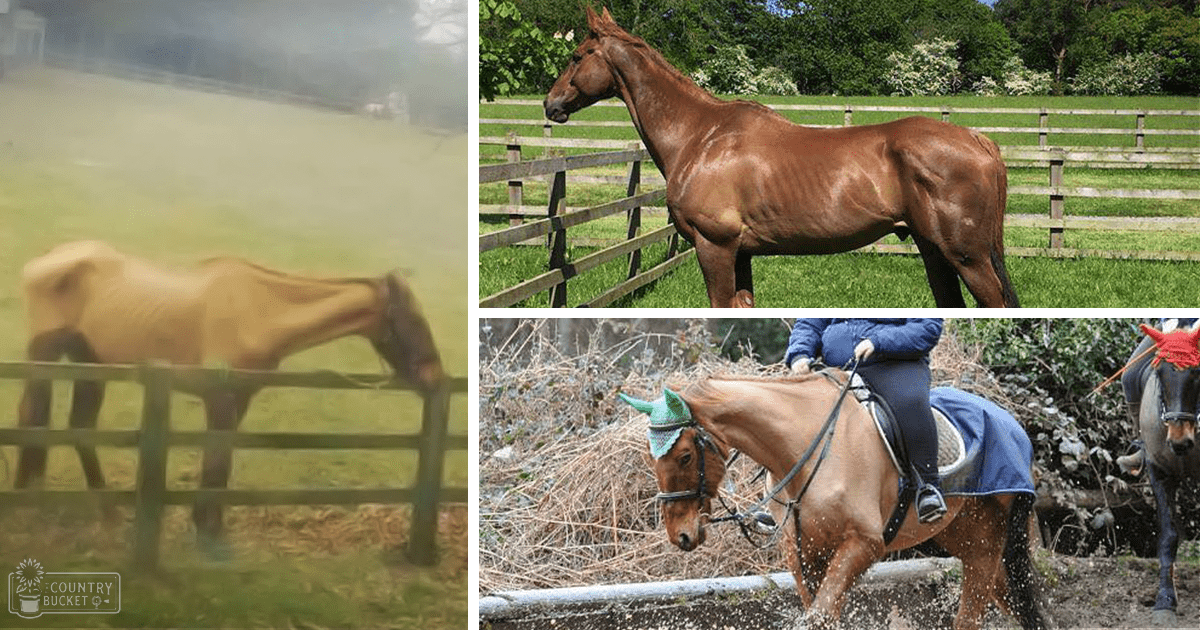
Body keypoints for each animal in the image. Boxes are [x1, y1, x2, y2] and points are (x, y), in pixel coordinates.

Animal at [13, 240, 443, 552]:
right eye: (412, 320)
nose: (435, 377)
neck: (259, 310)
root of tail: (48, 259)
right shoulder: (219, 399)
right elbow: (218, 460)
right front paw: (207, 533)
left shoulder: (240, 399)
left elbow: (221, 460)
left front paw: (208, 526)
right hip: (46, 356)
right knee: (32, 417)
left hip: (91, 364)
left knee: (80, 429)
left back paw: (107, 514)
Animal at [545, 8, 1018, 309]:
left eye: (576, 56)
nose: (551, 104)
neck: (701, 137)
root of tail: (977, 140)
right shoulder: (741, 254)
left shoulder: (715, 246)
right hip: (935, 251)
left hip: (968, 257)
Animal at [620, 372, 1050, 630]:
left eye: (684, 456)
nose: (680, 535)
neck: (804, 451)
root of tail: (1012, 424)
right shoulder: (803, 552)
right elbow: (822, 611)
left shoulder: (863, 544)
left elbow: (819, 616)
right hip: (973, 541)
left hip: (992, 542)